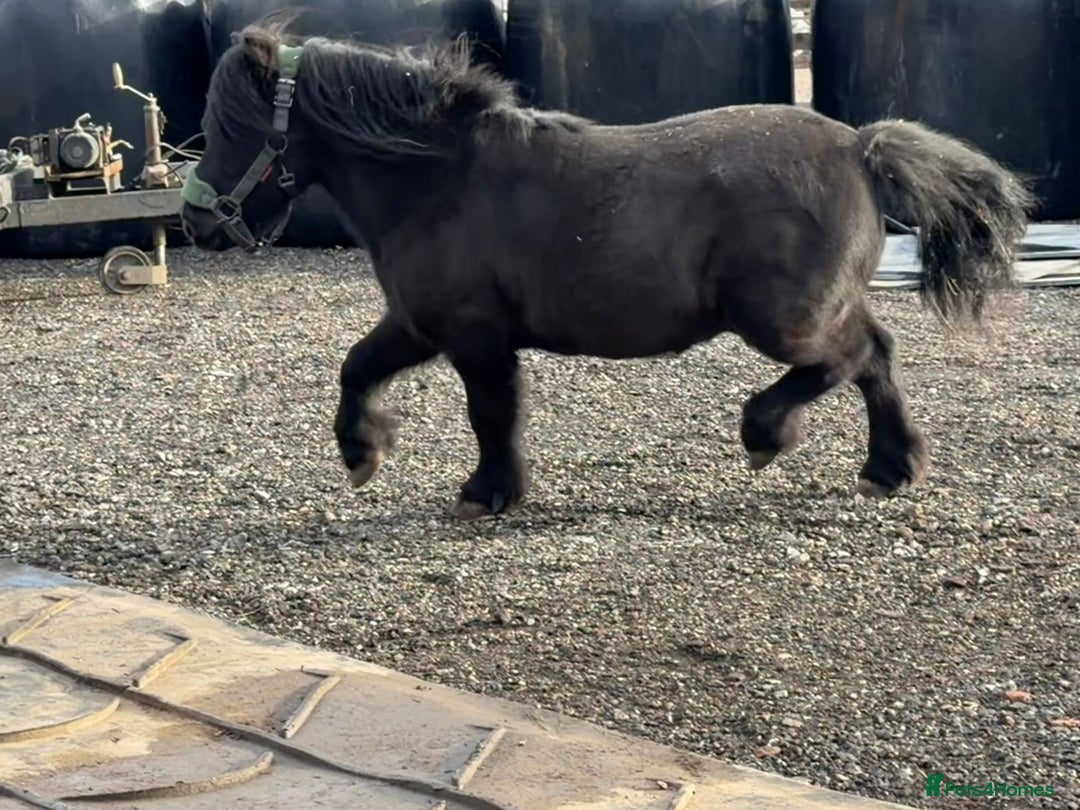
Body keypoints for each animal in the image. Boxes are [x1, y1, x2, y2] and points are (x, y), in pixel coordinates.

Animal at [180, 21, 1034, 520]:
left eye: (234, 127)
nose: (195, 222)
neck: (441, 178)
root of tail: (859, 145)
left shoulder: (474, 336)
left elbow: (491, 415)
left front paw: (489, 491)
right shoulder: (422, 324)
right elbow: (356, 369)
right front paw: (364, 454)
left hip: (783, 320)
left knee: (853, 357)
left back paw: (771, 434)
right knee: (873, 358)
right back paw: (889, 466)